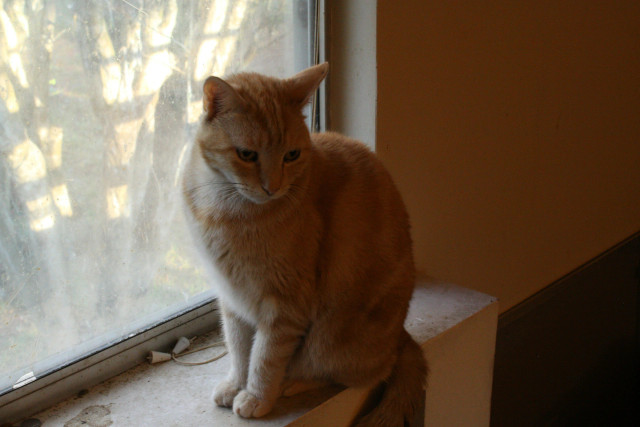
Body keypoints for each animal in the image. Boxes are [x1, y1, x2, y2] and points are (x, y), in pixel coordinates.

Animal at [182, 61, 428, 426]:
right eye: (247, 155)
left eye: (292, 155)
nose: (272, 188)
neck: (225, 208)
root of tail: (402, 335)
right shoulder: (233, 299)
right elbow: (239, 349)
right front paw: (236, 384)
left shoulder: (284, 306)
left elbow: (264, 357)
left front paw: (256, 397)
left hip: (332, 339)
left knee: (359, 373)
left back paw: (292, 382)